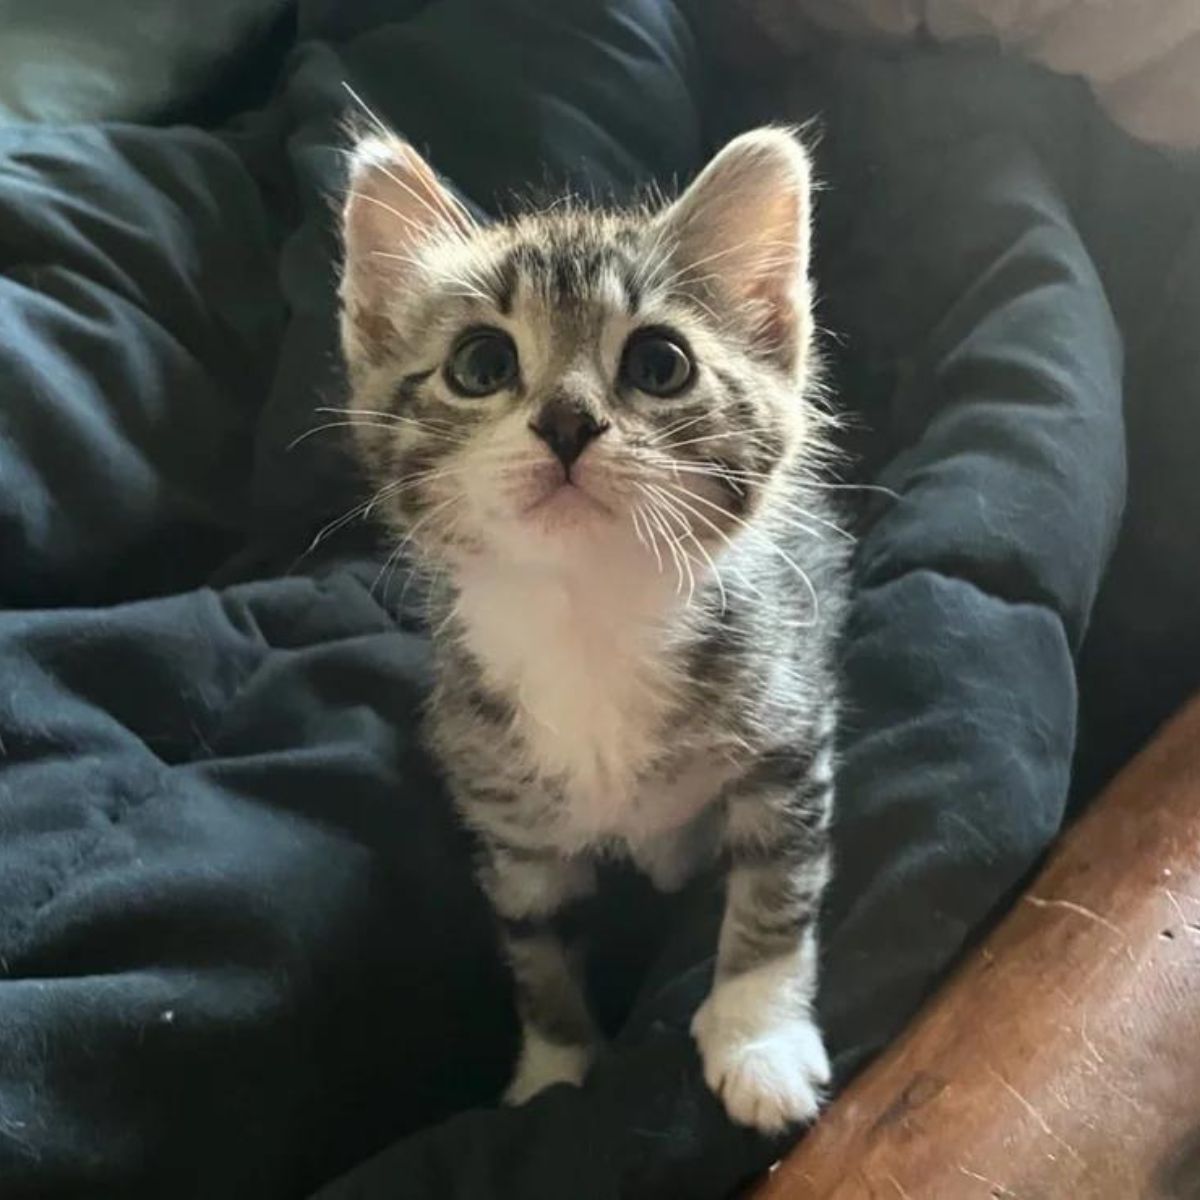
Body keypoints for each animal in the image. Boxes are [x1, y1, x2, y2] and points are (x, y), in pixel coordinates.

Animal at [336, 126, 844, 1128]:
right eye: (482, 364)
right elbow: (538, 952)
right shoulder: (510, 820)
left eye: (660, 364)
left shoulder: (787, 739)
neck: (587, 618)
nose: (568, 421)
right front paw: (554, 1074)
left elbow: (775, 891)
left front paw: (757, 1036)